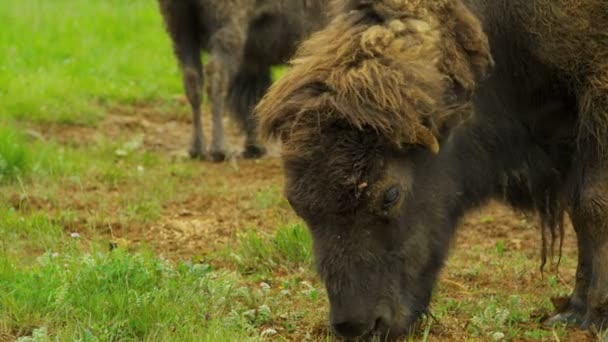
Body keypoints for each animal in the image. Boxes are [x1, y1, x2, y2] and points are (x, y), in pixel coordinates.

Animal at [157, 0, 328, 162]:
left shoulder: (252, 60)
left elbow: (252, 99)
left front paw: (254, 147)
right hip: (227, 28)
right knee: (215, 78)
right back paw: (220, 150)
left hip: (181, 30)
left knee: (192, 79)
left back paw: (197, 150)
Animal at [255, 0, 608, 340]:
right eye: (297, 205)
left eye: (390, 195)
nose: (357, 326)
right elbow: (579, 213)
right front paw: (572, 310)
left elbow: (591, 206)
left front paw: (594, 314)